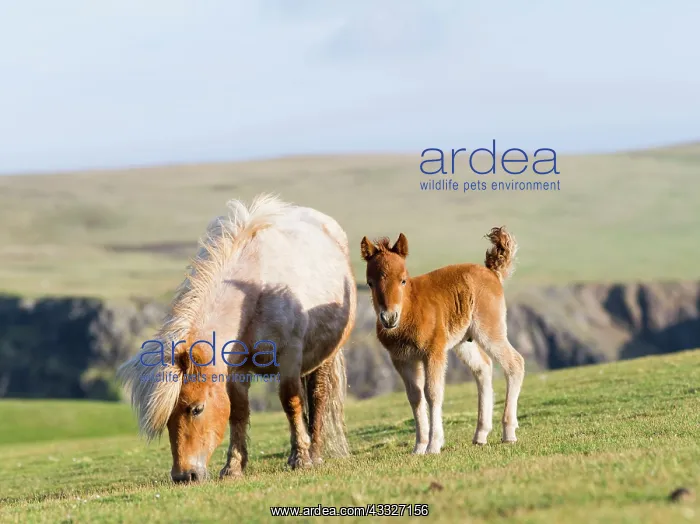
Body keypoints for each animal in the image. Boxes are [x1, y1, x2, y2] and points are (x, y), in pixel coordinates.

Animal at [117, 194, 357, 483]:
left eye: (196, 409)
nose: (184, 476)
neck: (254, 293)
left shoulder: (289, 357)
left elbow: (291, 402)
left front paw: (301, 458)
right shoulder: (235, 370)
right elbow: (238, 411)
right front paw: (233, 467)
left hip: (324, 356)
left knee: (318, 397)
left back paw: (315, 453)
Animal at [359, 227, 525, 454]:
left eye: (403, 279)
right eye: (370, 283)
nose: (389, 317)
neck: (411, 309)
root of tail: (492, 272)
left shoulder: (433, 351)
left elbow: (433, 393)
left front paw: (433, 444)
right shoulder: (402, 359)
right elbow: (415, 397)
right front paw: (419, 447)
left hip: (489, 330)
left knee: (514, 363)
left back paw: (508, 432)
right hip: (464, 341)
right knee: (483, 367)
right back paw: (480, 434)